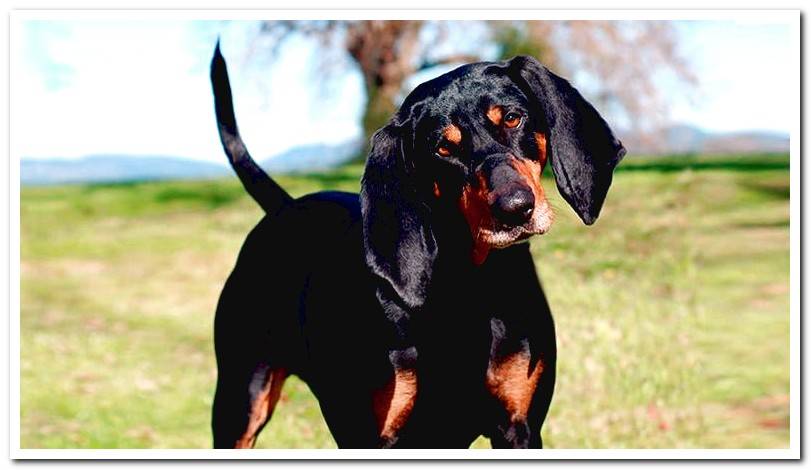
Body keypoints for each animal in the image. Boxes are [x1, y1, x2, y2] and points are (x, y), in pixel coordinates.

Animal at [211, 42, 628, 450]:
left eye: (512, 118)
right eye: (442, 148)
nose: (515, 208)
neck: (471, 289)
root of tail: (284, 207)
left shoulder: (518, 428)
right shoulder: (375, 439)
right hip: (239, 403)